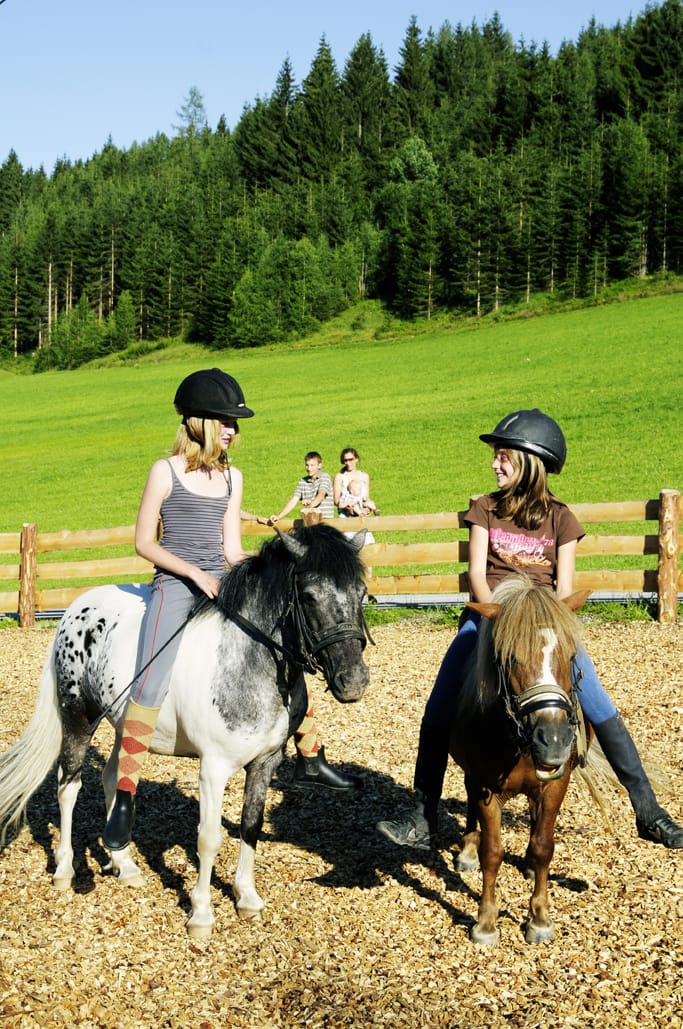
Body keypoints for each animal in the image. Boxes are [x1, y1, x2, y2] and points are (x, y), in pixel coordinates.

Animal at [0, 523, 371, 939]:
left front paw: (247, 898)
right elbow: (208, 838)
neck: (247, 659)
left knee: (115, 776)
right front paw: (201, 915)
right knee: (69, 786)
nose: (353, 681)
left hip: (123, 721)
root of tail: (77, 607)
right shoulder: (214, 767)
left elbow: (251, 826)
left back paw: (123, 862)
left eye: (361, 592)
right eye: (308, 596)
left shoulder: (264, 763)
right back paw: (65, 870)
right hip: (79, 717)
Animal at [450, 575, 594, 945]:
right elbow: (492, 852)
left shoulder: (556, 784)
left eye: (571, 655)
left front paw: (539, 918)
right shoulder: (486, 789)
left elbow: (544, 846)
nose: (553, 740)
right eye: (510, 658)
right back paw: (467, 850)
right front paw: (486, 922)